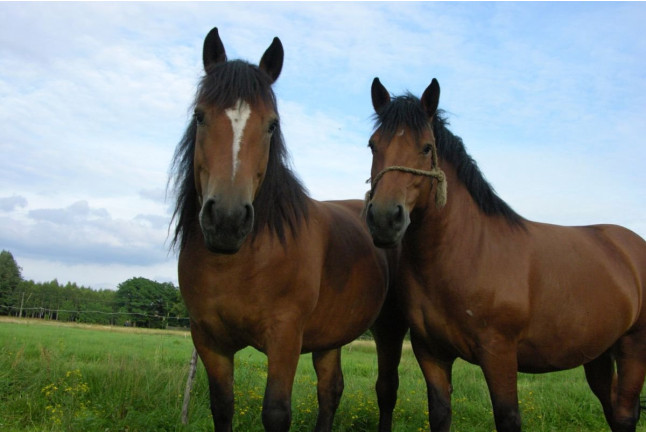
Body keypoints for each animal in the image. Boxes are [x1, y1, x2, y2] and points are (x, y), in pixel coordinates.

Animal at [169, 28, 407, 432]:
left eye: (272, 124)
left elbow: (276, 412)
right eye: (200, 117)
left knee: (386, 390)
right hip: (330, 337)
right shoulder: (209, 341)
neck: (240, 261)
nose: (227, 220)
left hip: (390, 328)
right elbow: (222, 406)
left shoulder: (285, 338)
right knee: (331, 390)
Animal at [363, 77, 646, 431]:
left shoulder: (499, 354)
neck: (469, 253)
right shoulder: (431, 353)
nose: (385, 219)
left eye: (427, 147)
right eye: (373, 145)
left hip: (633, 346)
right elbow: (440, 415)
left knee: (623, 414)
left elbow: (507, 417)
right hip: (597, 353)